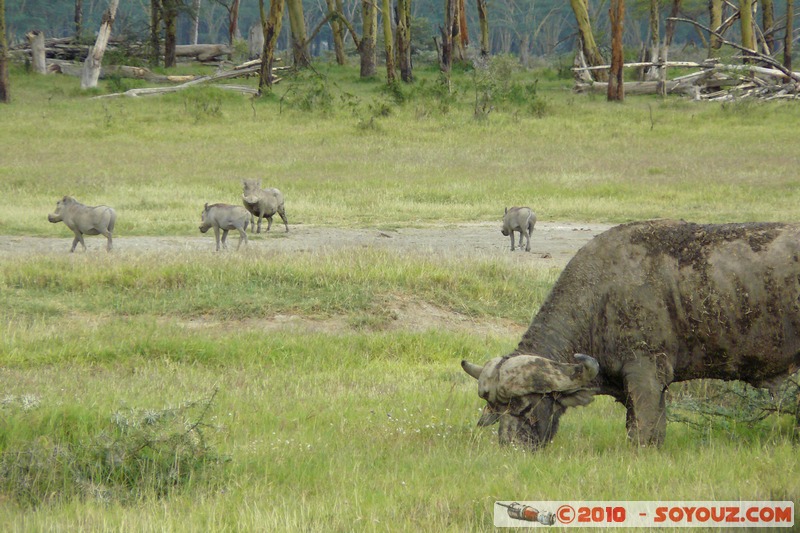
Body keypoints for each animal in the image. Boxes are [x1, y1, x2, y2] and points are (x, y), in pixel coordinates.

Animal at [463, 220, 800, 449]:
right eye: (496, 409)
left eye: (527, 405)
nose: (512, 446)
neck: (599, 297)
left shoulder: (646, 375)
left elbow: (644, 433)